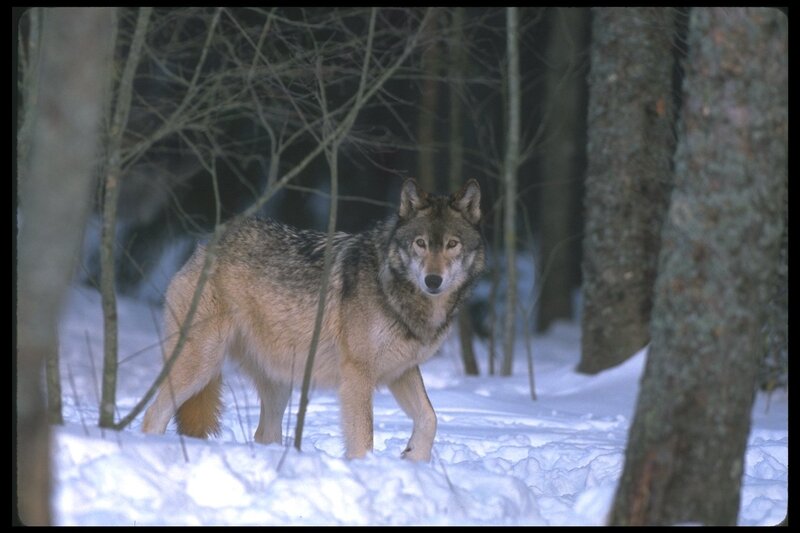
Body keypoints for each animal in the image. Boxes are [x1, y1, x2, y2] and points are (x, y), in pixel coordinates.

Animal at [141, 178, 484, 461]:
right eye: (421, 243)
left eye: (452, 244)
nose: (433, 281)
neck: (393, 288)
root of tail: (204, 246)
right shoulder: (357, 376)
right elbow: (363, 439)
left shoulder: (401, 371)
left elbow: (430, 418)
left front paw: (414, 457)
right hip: (201, 364)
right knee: (152, 415)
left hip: (279, 383)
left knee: (264, 435)